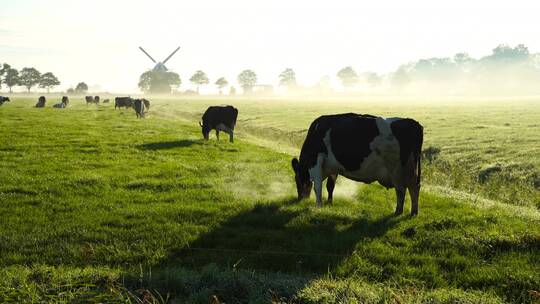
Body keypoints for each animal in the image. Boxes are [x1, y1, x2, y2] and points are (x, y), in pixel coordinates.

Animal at [292, 114, 422, 216]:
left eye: (297, 180)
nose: (299, 199)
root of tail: (414, 123)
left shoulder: (315, 162)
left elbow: (317, 187)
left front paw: (318, 206)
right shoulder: (333, 168)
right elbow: (330, 186)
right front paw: (329, 202)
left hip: (398, 170)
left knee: (402, 190)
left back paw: (398, 211)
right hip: (409, 170)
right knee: (414, 187)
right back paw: (413, 212)